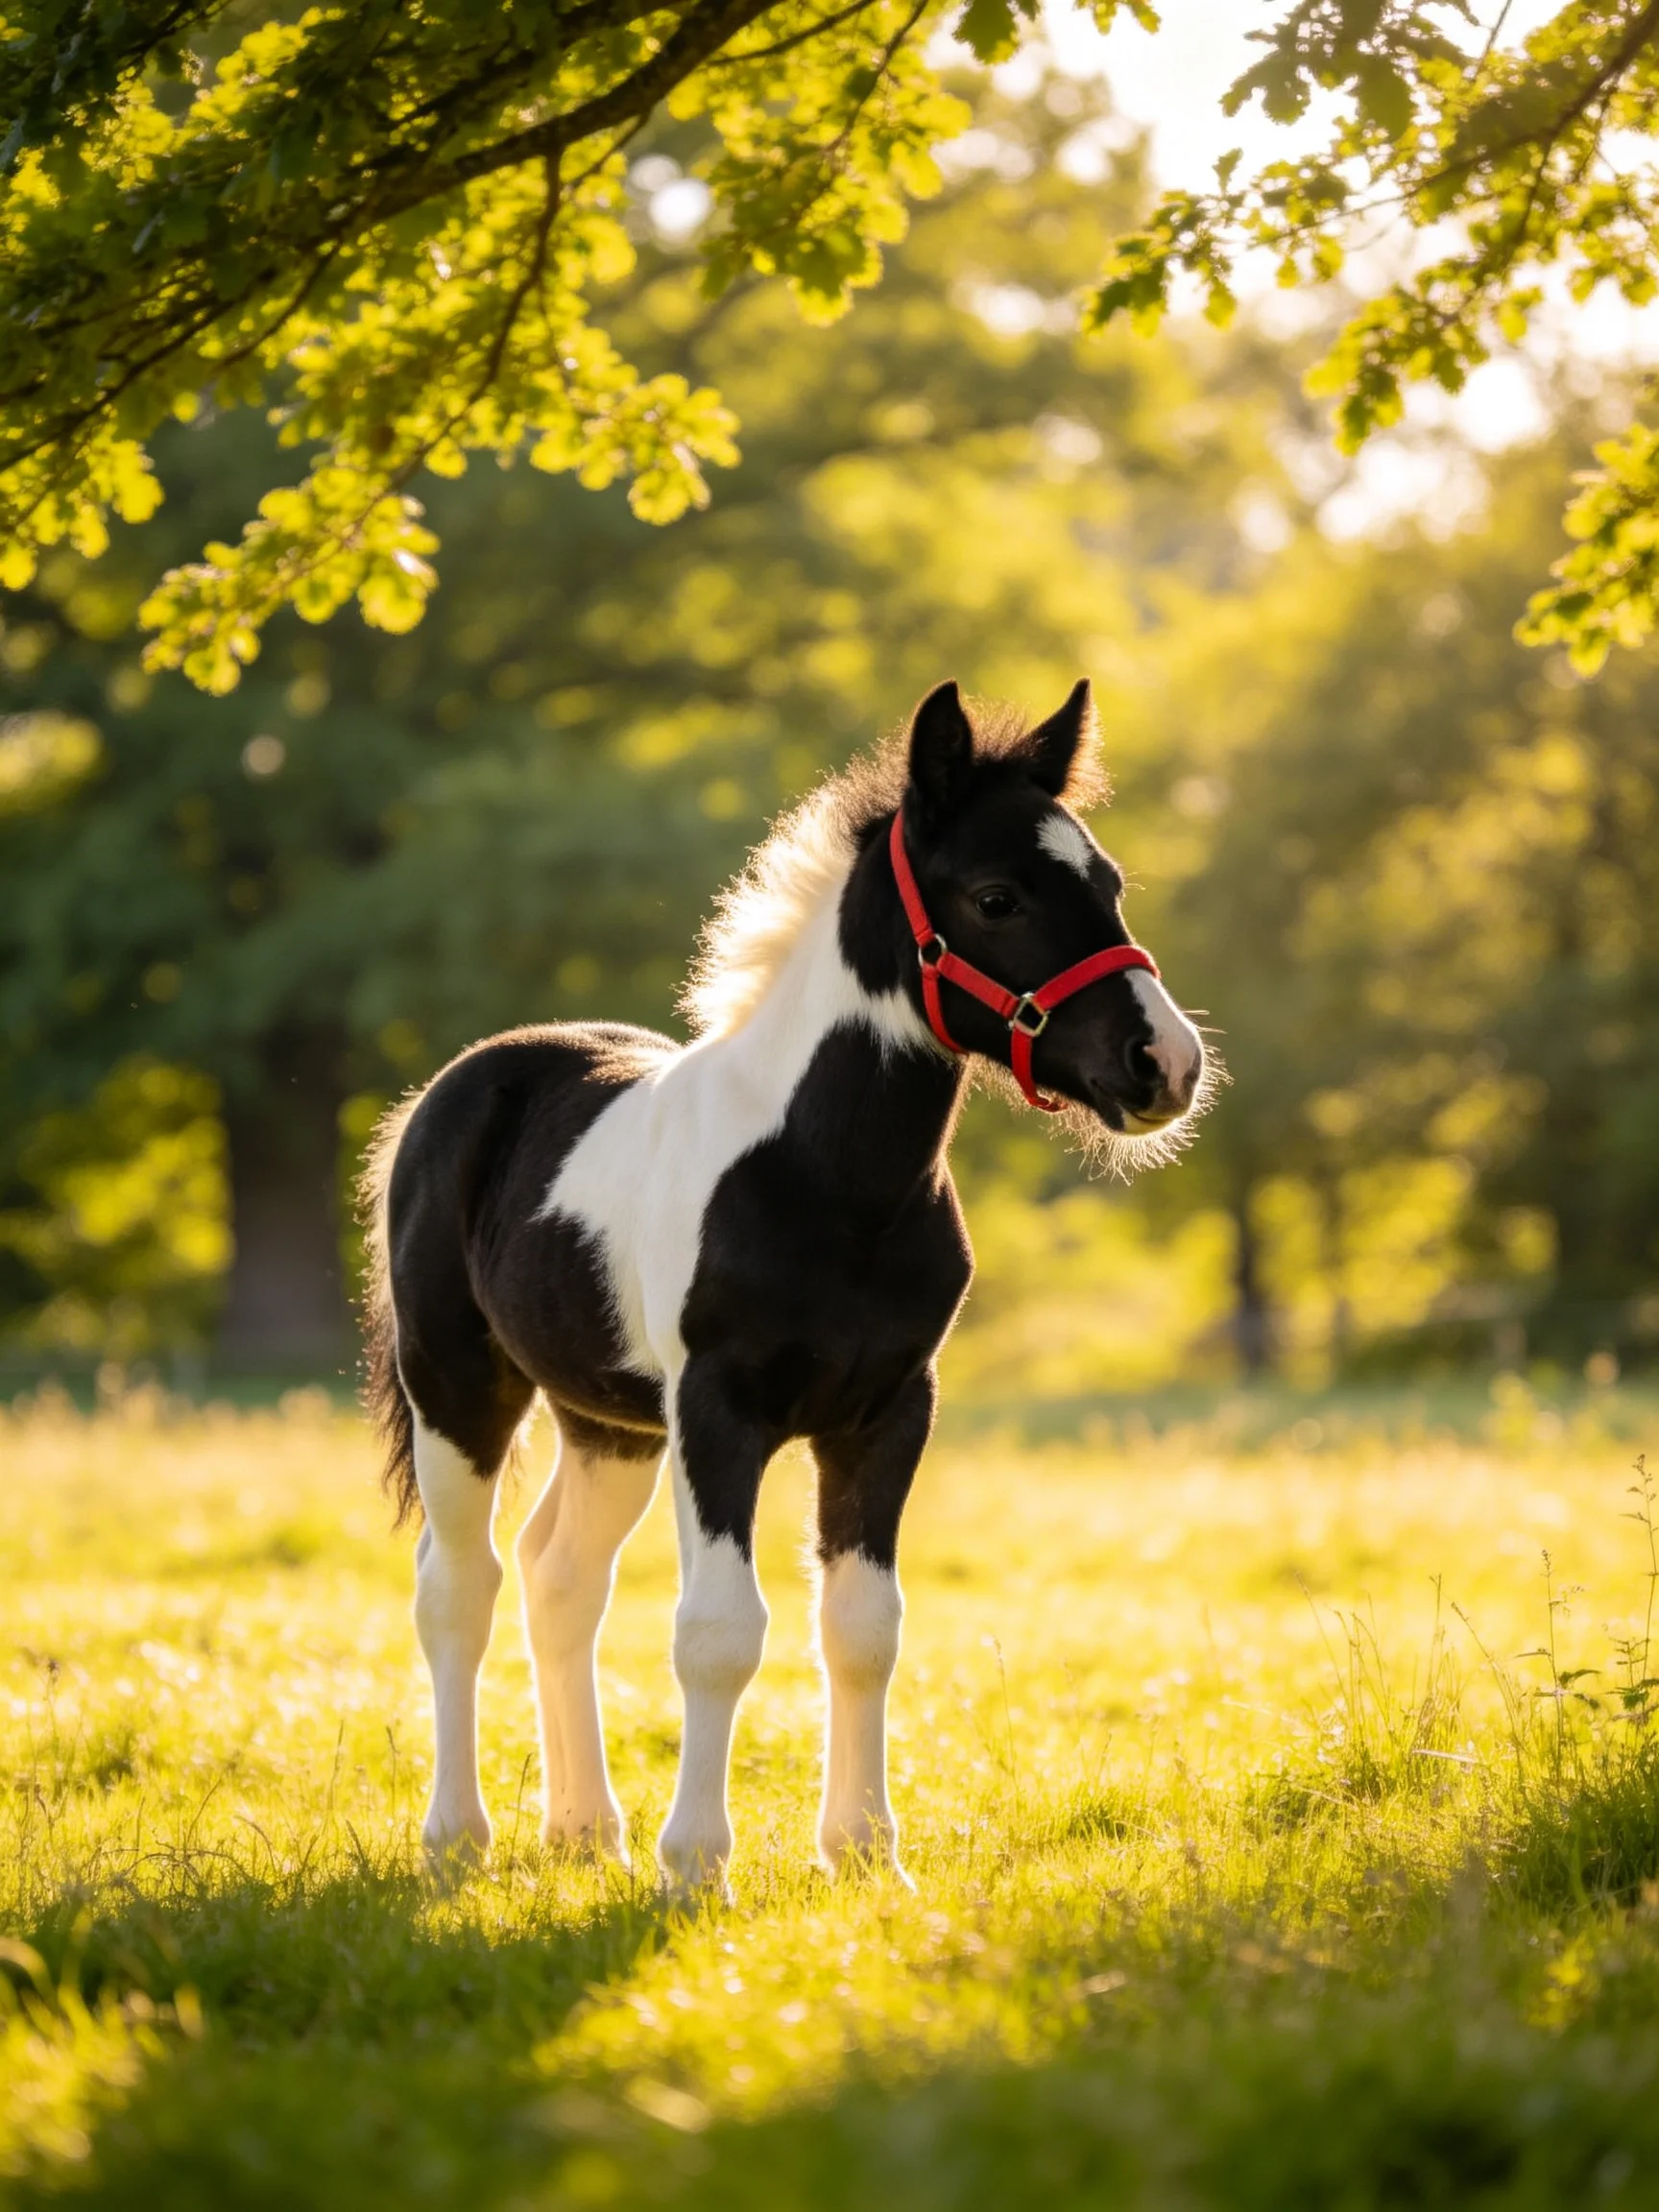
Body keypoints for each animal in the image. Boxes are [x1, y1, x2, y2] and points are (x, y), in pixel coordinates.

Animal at [360, 678, 1208, 1893]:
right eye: (995, 896)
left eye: (1109, 883)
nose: (1165, 1066)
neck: (827, 1178)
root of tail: (456, 1087)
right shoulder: (721, 1410)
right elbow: (718, 1630)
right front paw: (695, 1864)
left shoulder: (888, 1411)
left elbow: (862, 1625)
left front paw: (862, 1854)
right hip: (460, 1391)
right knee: (457, 1587)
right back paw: (456, 1839)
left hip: (610, 1423)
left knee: (560, 1579)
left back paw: (585, 1829)